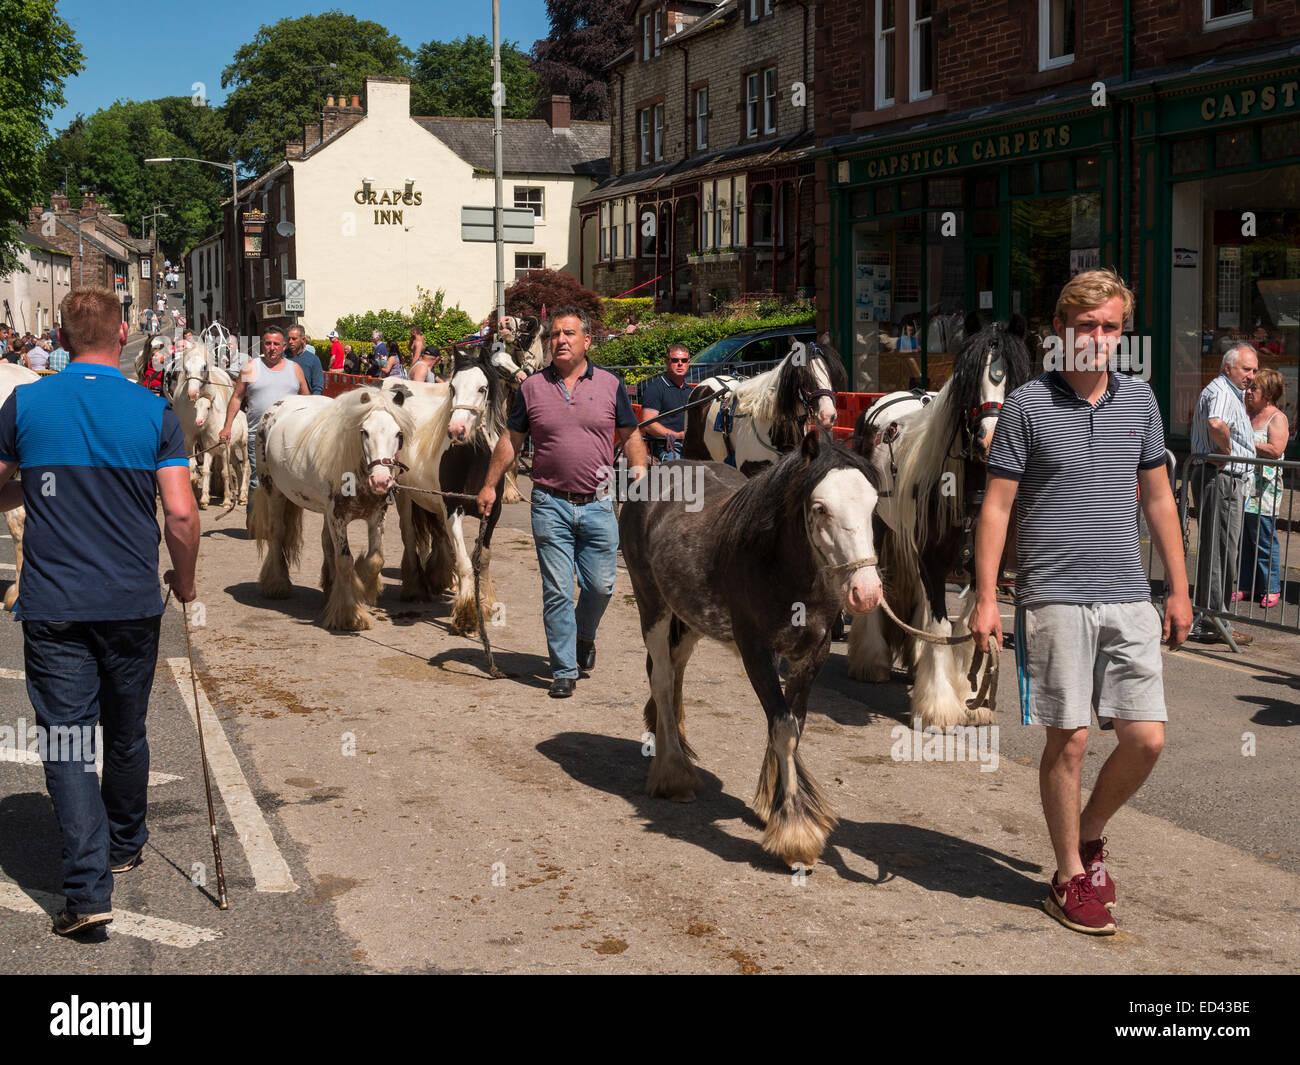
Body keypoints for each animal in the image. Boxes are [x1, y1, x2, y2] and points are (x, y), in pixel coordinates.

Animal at [250, 387, 413, 629]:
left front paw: (363, 588)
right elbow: (345, 561)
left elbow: (375, 559)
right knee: (277, 534)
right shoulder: (338, 516)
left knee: (325, 542)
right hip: (274, 492)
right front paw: (349, 613)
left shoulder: (376, 516)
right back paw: (277, 585)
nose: (381, 481)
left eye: (398, 434)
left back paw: (329, 587)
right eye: (364, 432)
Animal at [842, 314, 1034, 733]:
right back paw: (871, 660)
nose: (990, 443)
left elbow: (967, 628)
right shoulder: (932, 560)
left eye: (1015, 379)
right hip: (878, 529)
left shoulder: (985, 567)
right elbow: (940, 626)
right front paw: (939, 706)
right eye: (968, 380)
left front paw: (972, 700)